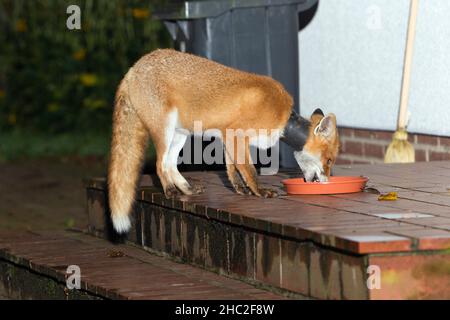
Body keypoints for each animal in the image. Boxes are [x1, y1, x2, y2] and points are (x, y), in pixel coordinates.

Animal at [109, 49, 340, 232]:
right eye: (329, 161)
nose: (327, 182)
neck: (284, 120)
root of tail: (134, 67)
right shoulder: (236, 134)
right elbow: (248, 169)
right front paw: (259, 191)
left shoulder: (228, 137)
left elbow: (231, 169)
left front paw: (239, 190)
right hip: (164, 130)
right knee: (159, 164)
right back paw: (170, 191)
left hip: (180, 135)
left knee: (170, 164)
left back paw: (186, 189)